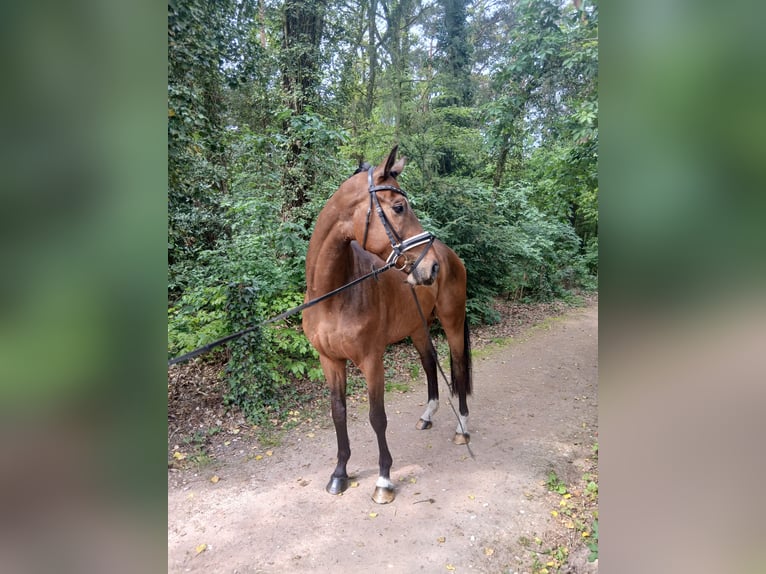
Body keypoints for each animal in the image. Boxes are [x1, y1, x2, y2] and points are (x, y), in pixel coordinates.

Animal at [302, 145, 472, 504]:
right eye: (398, 207)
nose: (430, 267)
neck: (333, 294)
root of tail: (451, 256)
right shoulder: (330, 361)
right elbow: (338, 412)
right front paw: (340, 474)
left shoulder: (371, 360)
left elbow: (377, 417)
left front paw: (383, 480)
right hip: (418, 328)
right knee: (429, 363)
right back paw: (427, 416)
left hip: (452, 322)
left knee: (459, 366)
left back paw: (462, 428)